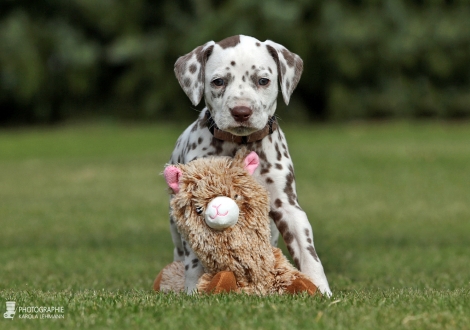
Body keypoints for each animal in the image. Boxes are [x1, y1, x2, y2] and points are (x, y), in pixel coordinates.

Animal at [167, 34, 332, 296]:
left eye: (263, 80)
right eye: (218, 82)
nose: (241, 111)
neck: (242, 144)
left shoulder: (288, 206)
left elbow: (308, 254)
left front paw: (321, 290)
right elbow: (195, 259)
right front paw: (194, 290)